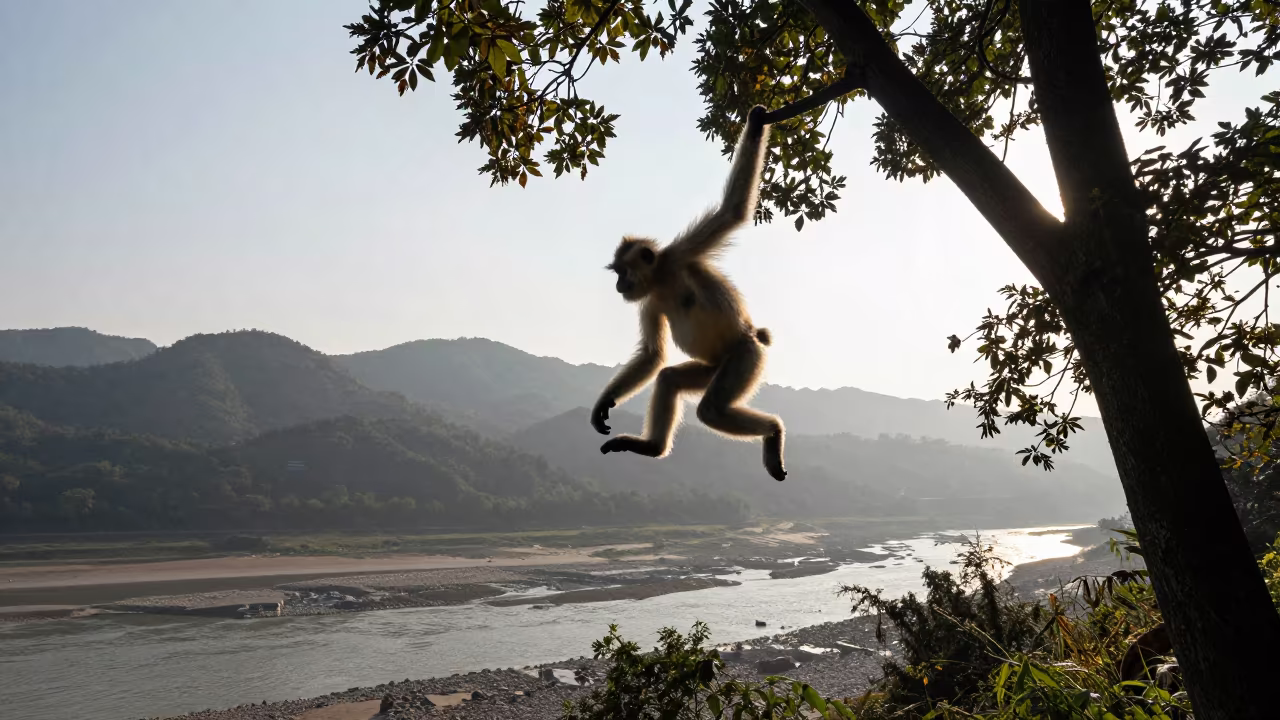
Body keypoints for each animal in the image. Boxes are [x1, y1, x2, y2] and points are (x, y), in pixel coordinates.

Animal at [590, 105, 786, 482]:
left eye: (622, 272)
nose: (618, 285)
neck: (663, 278)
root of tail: (754, 337)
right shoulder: (649, 301)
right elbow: (652, 356)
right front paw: (604, 403)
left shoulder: (681, 254)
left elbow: (733, 210)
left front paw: (756, 123)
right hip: (712, 368)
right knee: (669, 378)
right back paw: (652, 448)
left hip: (743, 357)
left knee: (712, 409)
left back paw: (773, 430)